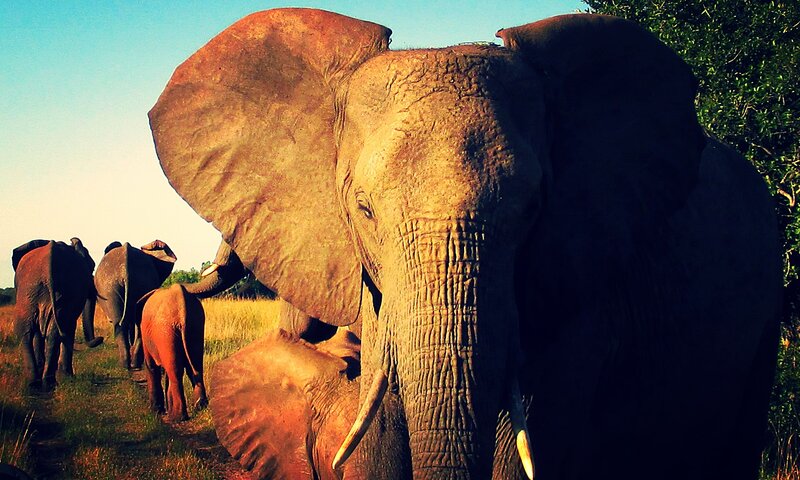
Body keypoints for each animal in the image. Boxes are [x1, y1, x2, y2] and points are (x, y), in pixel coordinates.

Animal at [12, 238, 103, 390]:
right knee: (34, 331)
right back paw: (41, 382)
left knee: (34, 332)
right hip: (31, 293)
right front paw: (68, 377)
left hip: (32, 293)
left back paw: (40, 383)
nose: (100, 339)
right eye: (92, 266)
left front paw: (66, 377)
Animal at [95, 240, 176, 370]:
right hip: (126, 284)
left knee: (120, 322)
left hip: (111, 287)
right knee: (128, 322)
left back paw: (125, 365)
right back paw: (132, 364)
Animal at [137, 284, 207, 422]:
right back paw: (200, 407)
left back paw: (177, 417)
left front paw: (156, 412)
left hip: (166, 331)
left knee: (175, 372)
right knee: (195, 367)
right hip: (195, 325)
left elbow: (151, 366)